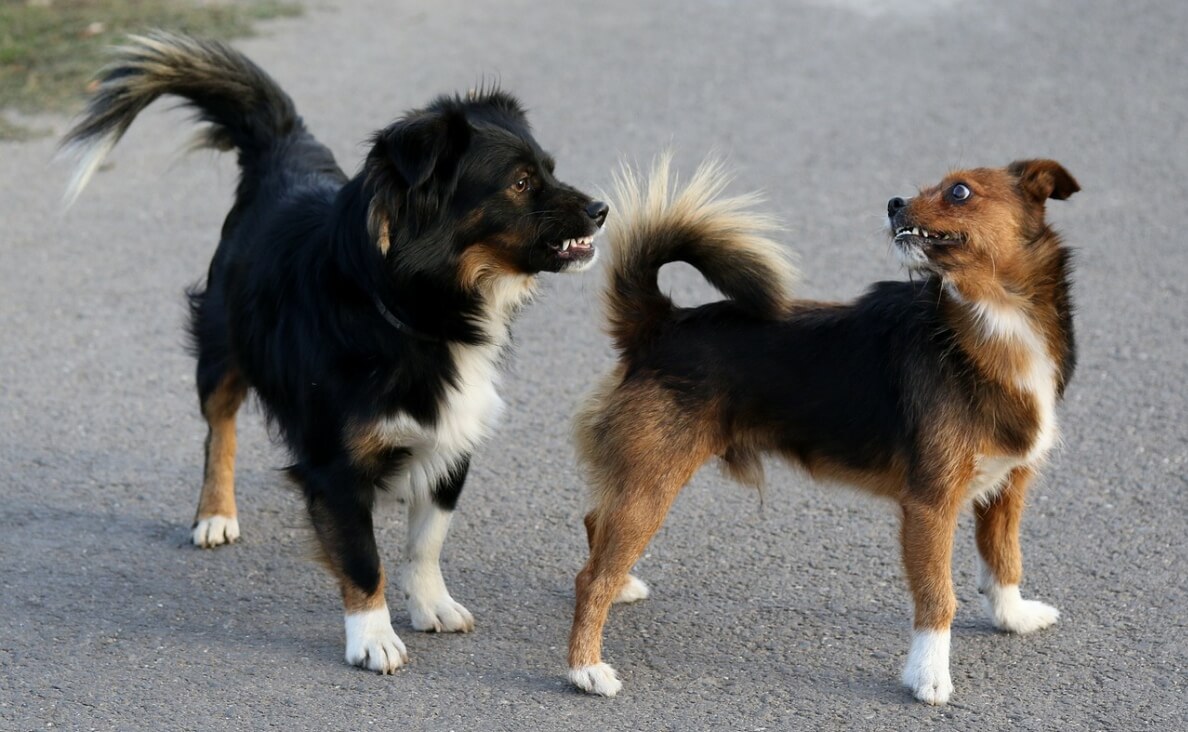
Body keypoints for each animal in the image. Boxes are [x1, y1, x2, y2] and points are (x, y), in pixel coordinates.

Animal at [60, 34, 608, 674]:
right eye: (521, 183)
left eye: (550, 168)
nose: (601, 210)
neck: (412, 310)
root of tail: (283, 152)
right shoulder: (335, 465)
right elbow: (362, 558)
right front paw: (373, 637)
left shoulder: (453, 437)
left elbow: (427, 541)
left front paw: (431, 604)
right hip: (222, 345)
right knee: (219, 428)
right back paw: (216, 513)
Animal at [565, 154, 1078, 703]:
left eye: (959, 192)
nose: (894, 203)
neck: (989, 320)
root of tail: (659, 323)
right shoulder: (931, 505)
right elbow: (938, 597)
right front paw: (929, 676)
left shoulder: (1008, 486)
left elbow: (1004, 559)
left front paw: (1013, 617)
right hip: (653, 481)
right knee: (590, 577)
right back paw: (585, 668)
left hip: (639, 478)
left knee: (595, 525)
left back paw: (620, 589)